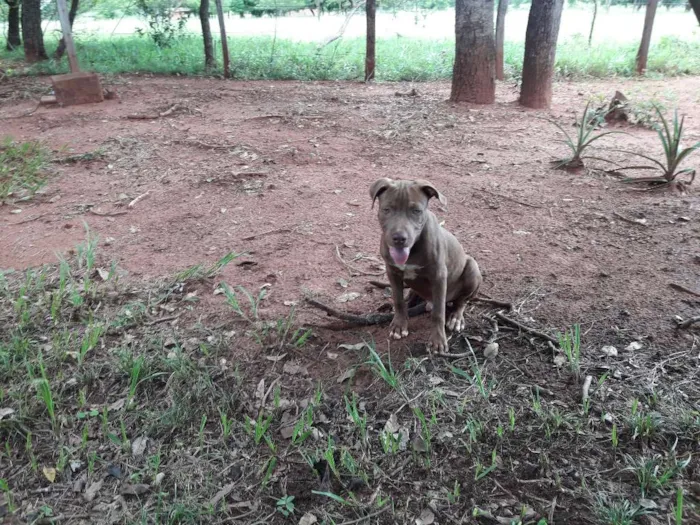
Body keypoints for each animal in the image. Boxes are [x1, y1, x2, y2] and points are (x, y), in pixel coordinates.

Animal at [372, 177, 482, 352]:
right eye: (387, 209)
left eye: (416, 211)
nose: (399, 238)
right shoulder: (392, 271)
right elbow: (398, 299)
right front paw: (399, 325)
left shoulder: (439, 276)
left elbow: (438, 312)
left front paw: (437, 341)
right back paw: (410, 300)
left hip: (472, 268)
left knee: (462, 301)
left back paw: (456, 318)